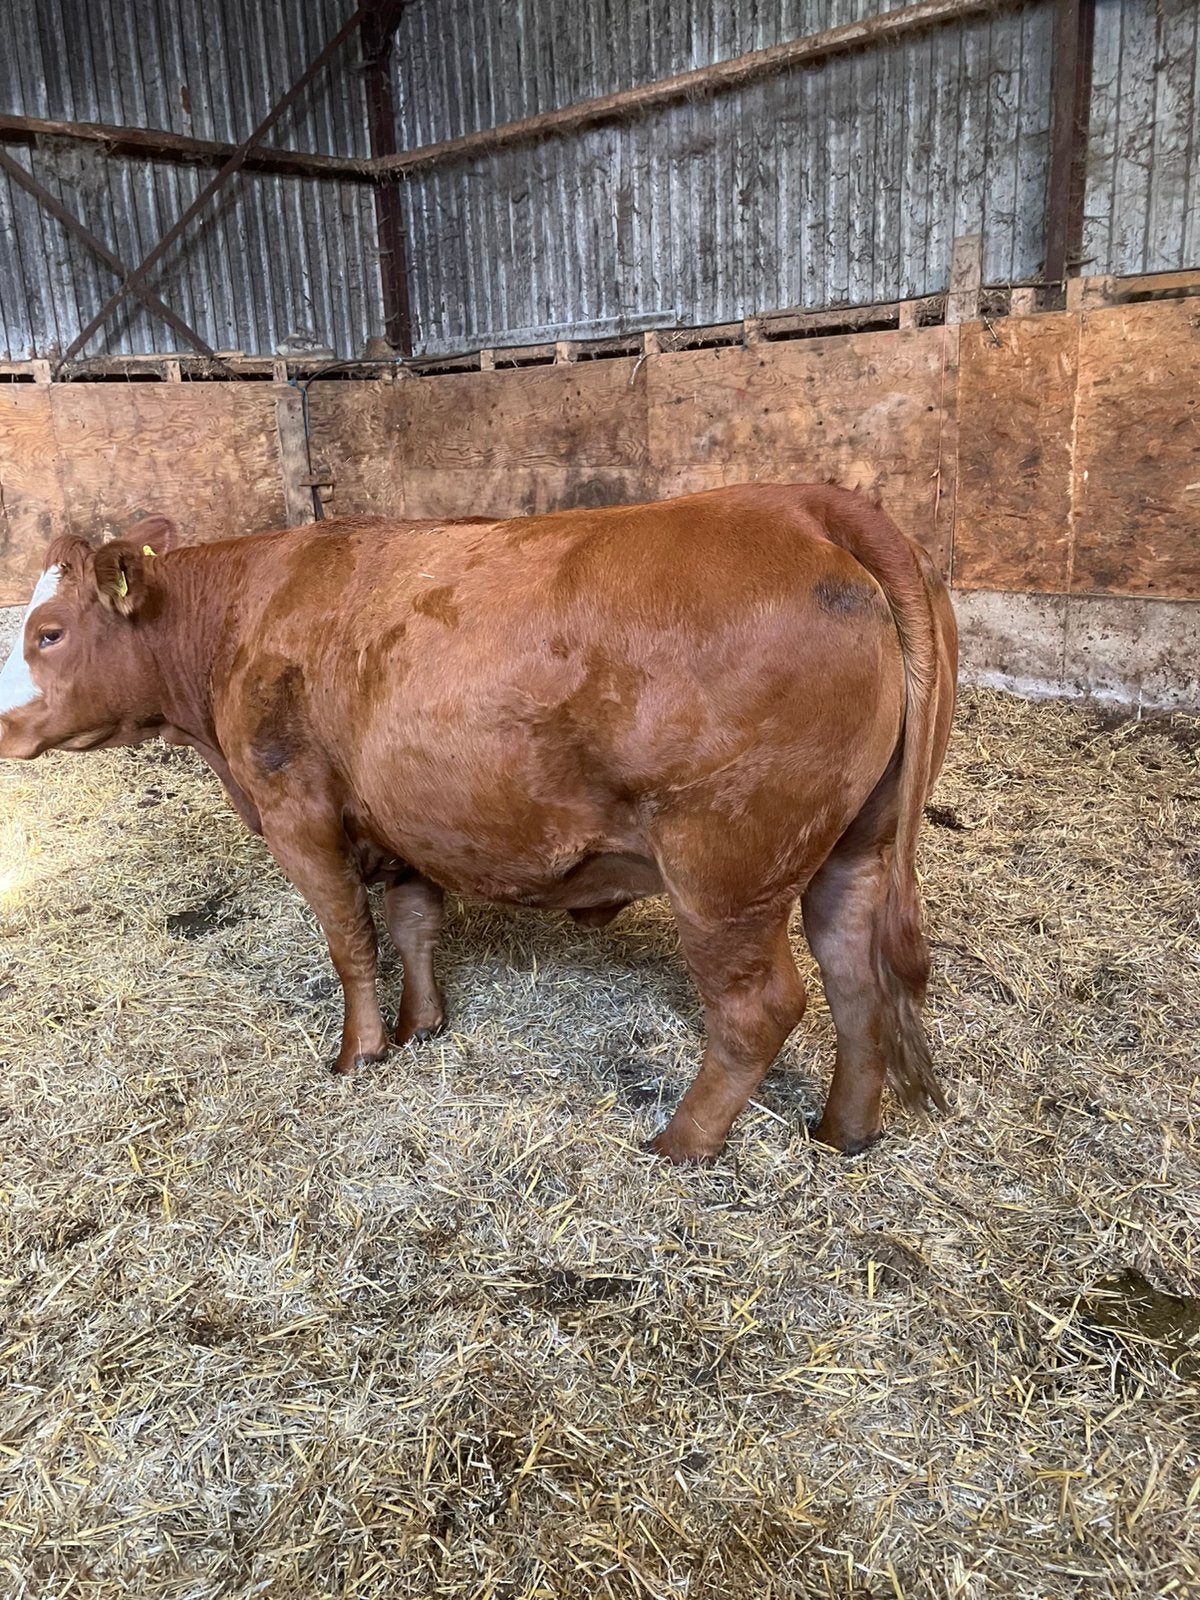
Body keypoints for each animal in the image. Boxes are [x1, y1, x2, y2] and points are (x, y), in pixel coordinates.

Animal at [0, 484, 957, 1160]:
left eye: (47, 633)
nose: (2, 724)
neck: (243, 616)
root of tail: (799, 503)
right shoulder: (402, 817)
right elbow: (414, 924)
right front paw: (422, 1026)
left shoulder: (297, 812)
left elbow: (350, 939)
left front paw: (360, 1053)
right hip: (853, 848)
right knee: (856, 979)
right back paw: (842, 1132)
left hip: (724, 867)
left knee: (762, 1006)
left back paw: (682, 1143)